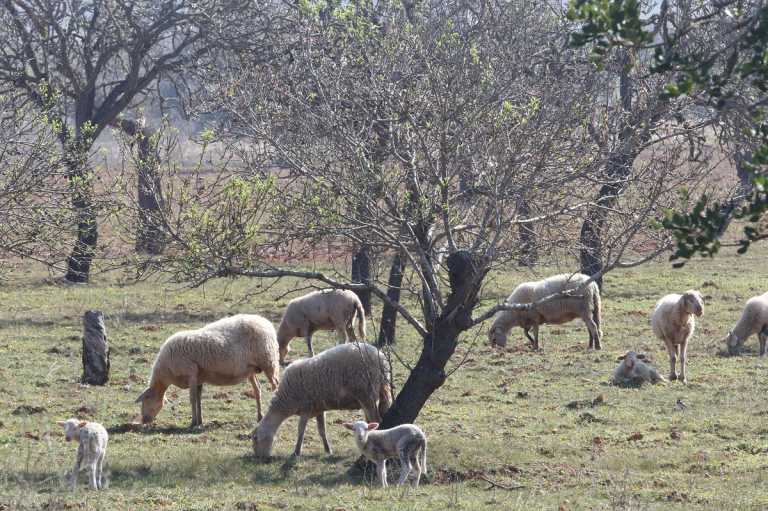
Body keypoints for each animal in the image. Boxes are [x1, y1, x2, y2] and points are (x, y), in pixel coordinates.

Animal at [136, 316, 280, 428]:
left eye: (146, 399)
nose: (144, 420)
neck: (166, 371)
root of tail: (265, 322)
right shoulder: (199, 377)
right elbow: (199, 399)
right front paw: (200, 421)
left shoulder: (191, 373)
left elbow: (192, 399)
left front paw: (193, 423)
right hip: (251, 369)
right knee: (257, 389)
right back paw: (259, 417)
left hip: (269, 362)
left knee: (275, 386)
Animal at [255, 344, 392, 460]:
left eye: (255, 439)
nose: (259, 458)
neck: (286, 400)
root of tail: (382, 358)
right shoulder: (319, 408)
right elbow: (322, 431)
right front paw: (327, 450)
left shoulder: (305, 409)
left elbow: (301, 431)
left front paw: (296, 452)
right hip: (372, 394)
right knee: (371, 420)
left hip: (366, 394)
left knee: (375, 419)